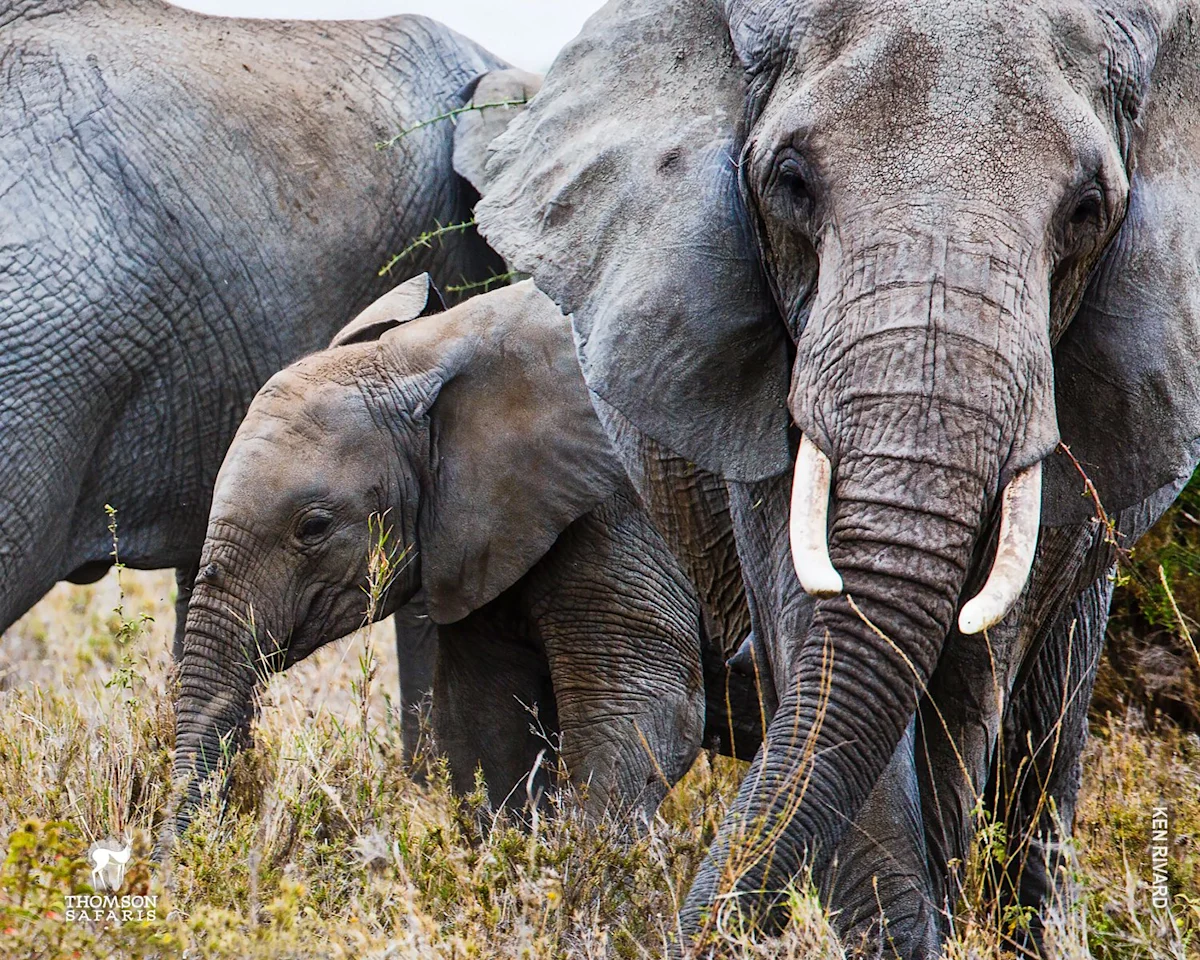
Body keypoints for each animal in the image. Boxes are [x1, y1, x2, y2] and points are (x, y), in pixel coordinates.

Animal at [172, 273, 757, 836]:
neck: (426, 355)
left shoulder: (624, 507)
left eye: (313, 528)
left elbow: (638, 714)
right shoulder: (477, 537)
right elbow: (485, 729)